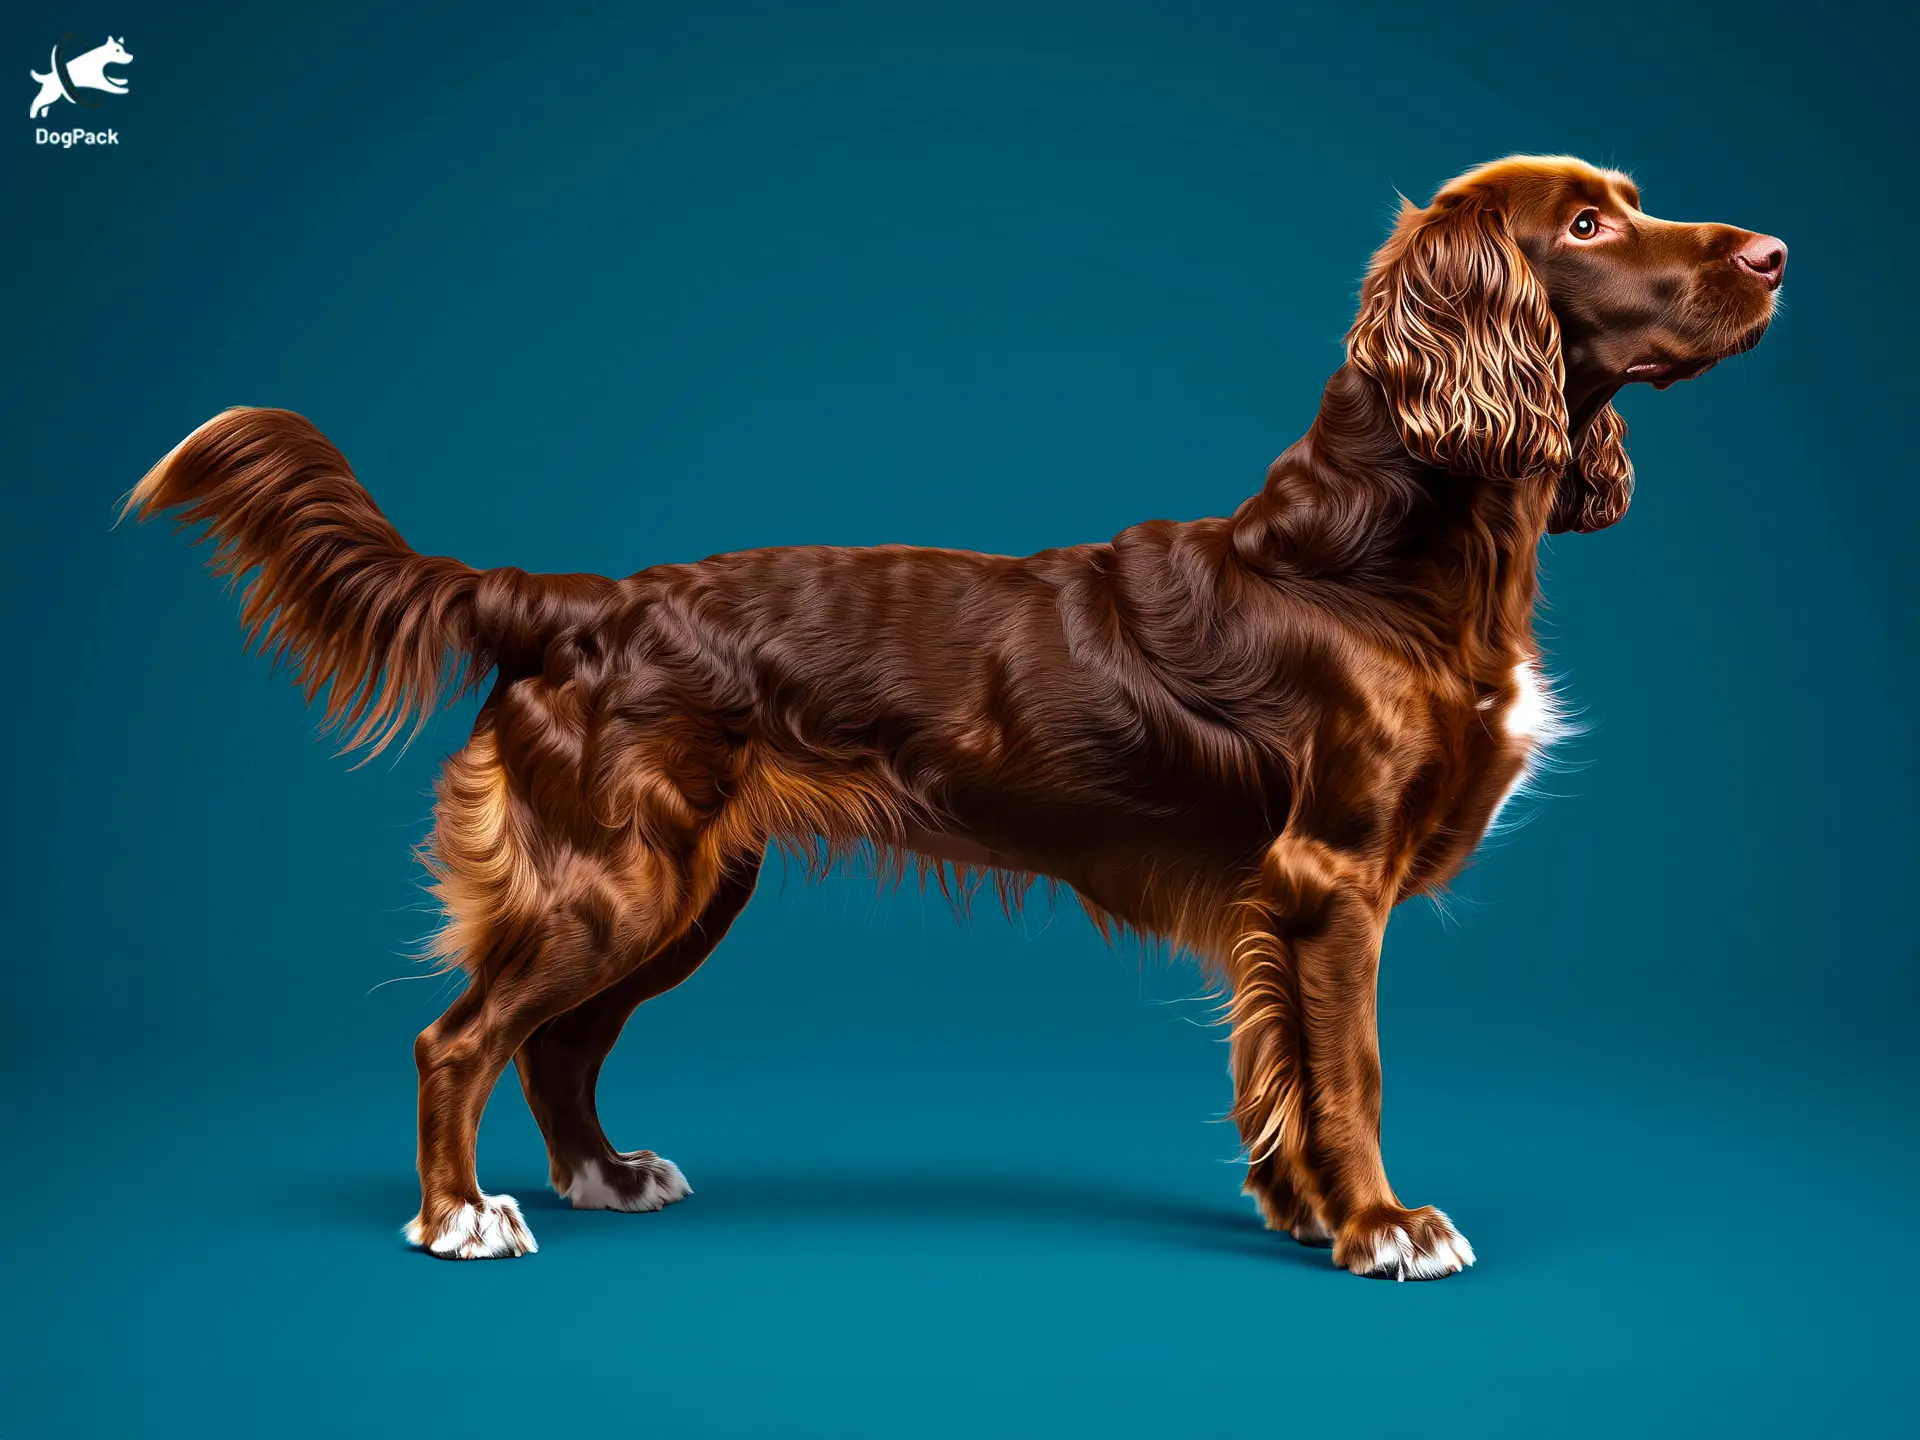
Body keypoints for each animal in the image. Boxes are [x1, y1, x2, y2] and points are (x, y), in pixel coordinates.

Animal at [127, 157, 1781, 1282]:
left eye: (1629, 203)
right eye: (1586, 227)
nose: (1775, 252)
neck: (1391, 552)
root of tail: (577, 603)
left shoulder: (1278, 903)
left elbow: (1283, 1076)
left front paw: (1308, 1214)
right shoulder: (1331, 879)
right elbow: (1352, 1069)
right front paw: (1383, 1225)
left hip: (689, 888)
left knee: (558, 1047)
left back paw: (601, 1175)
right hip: (619, 878)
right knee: (459, 1037)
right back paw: (460, 1217)